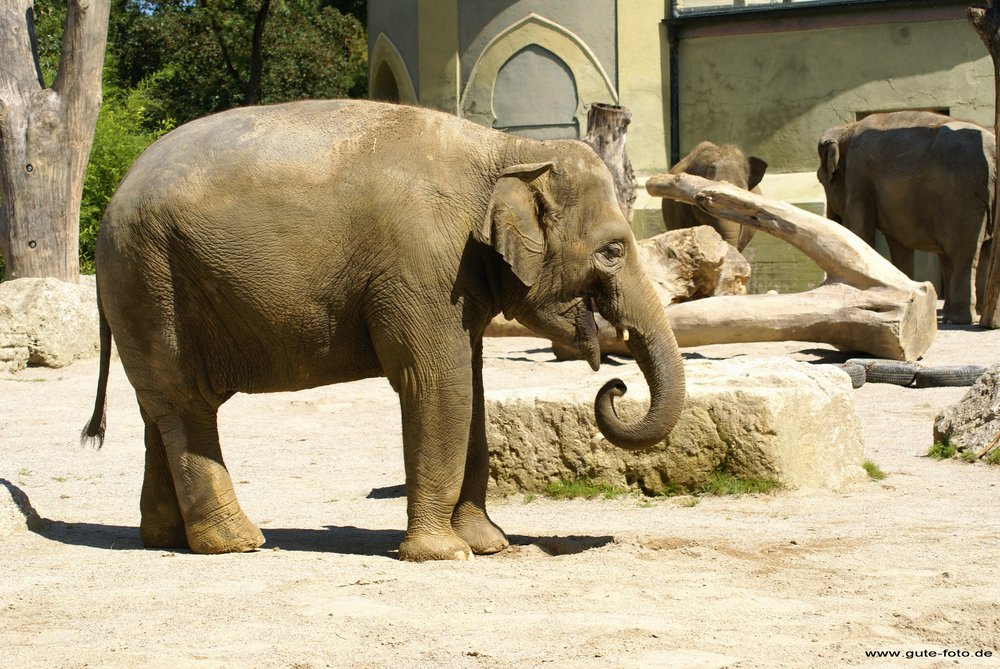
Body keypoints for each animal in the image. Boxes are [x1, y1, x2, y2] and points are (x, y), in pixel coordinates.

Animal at [81, 99, 687, 562]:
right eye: (613, 251)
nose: (616, 386)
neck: (507, 149)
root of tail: (114, 197)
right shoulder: (423, 265)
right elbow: (438, 384)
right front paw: (444, 555)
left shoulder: (456, 278)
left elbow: (470, 388)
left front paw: (489, 545)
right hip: (151, 276)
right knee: (187, 404)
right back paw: (237, 543)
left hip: (145, 286)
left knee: (159, 406)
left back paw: (166, 539)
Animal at [817, 111, 996, 324]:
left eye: (820, 179)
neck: (848, 129)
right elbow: (898, 244)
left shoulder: (858, 177)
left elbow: (860, 232)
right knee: (980, 252)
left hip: (964, 195)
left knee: (964, 253)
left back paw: (957, 320)